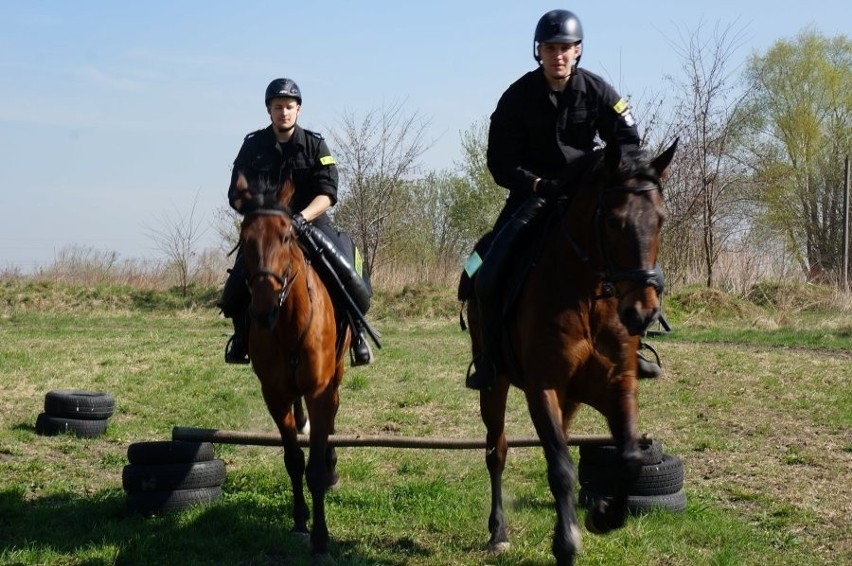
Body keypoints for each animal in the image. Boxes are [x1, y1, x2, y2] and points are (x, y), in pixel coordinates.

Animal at [231, 172, 348, 560]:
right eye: (244, 239)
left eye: (286, 236)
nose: (263, 311)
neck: (290, 324)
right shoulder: (275, 395)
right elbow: (294, 461)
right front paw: (300, 522)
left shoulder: (319, 392)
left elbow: (314, 469)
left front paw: (321, 541)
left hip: (336, 377)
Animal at [466, 140, 680, 564]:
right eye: (613, 221)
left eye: (660, 220)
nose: (642, 313)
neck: (588, 296)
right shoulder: (543, 388)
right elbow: (562, 469)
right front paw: (566, 543)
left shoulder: (616, 386)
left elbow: (630, 460)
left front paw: (602, 516)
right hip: (495, 385)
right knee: (497, 451)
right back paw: (498, 531)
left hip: (570, 400)